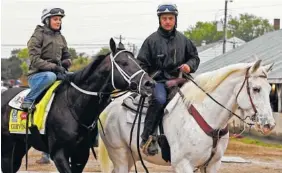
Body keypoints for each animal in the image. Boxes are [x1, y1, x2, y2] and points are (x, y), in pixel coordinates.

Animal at [1, 38, 154, 173]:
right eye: (123, 63)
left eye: (138, 62)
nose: (149, 83)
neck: (74, 106)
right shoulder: (59, 154)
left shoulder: (81, 154)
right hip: (7, 149)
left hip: (19, 147)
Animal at [97, 60, 276, 172]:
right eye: (256, 89)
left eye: (270, 88)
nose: (269, 125)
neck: (207, 115)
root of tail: (108, 109)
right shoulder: (183, 164)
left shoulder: (212, 165)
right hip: (119, 154)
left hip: (131, 155)